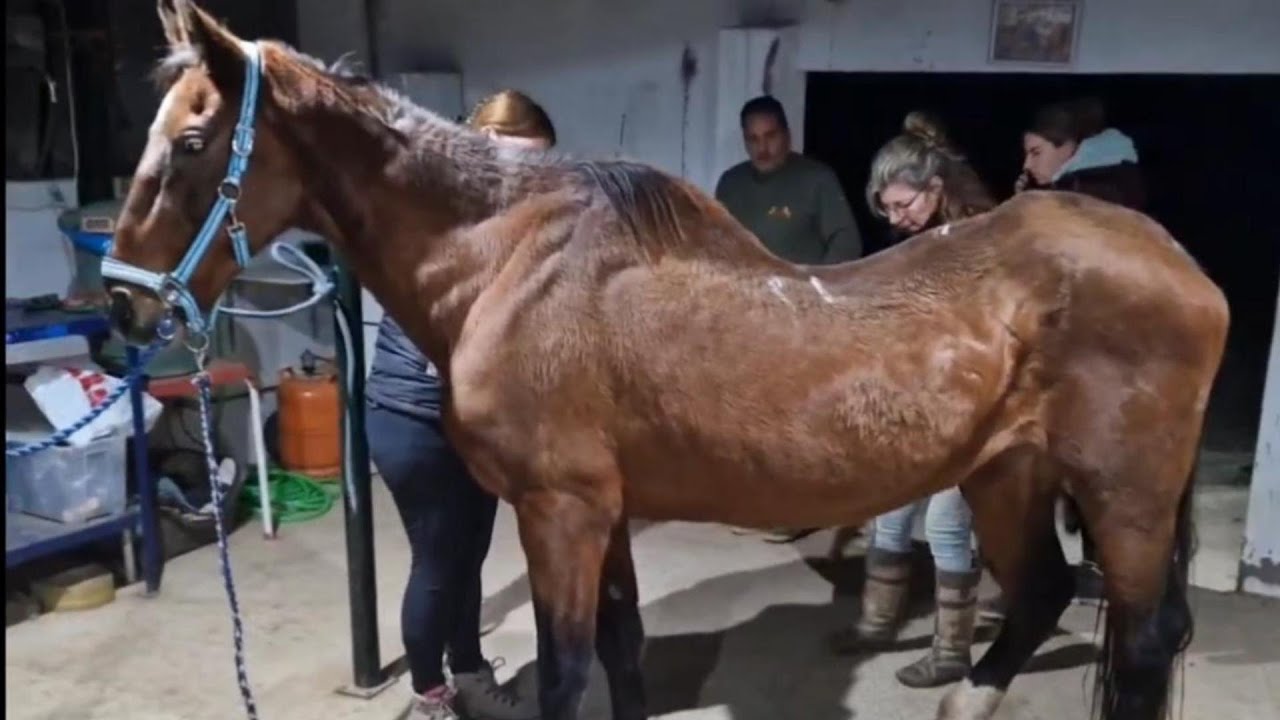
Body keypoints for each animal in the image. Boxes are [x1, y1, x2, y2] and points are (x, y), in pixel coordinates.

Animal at [105, 3, 1228, 719]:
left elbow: (567, 672)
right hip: (1007, 475)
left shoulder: (558, 513)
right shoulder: (601, 515)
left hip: (1121, 497)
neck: (506, 262)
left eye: (194, 141)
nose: (121, 304)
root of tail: (1176, 260)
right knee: (1042, 592)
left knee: (1140, 644)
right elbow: (622, 649)